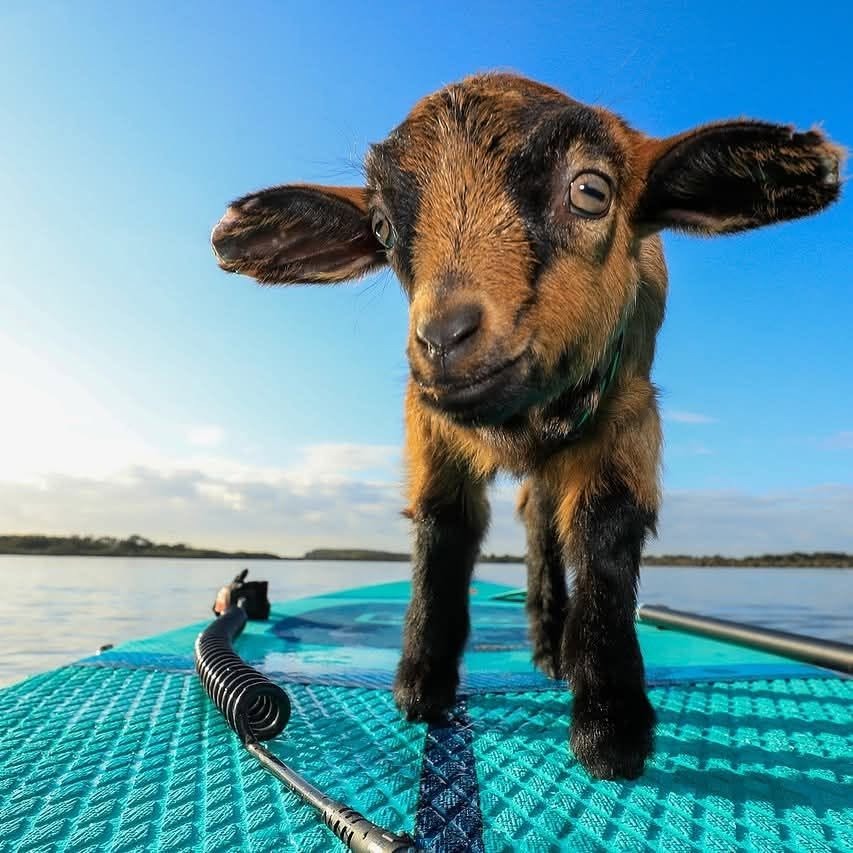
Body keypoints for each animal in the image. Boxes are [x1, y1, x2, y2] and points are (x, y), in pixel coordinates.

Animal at [211, 73, 843, 780]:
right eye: (381, 226)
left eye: (592, 191)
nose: (444, 339)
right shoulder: (427, 419)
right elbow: (443, 529)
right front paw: (422, 684)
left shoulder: (630, 410)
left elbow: (604, 535)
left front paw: (610, 725)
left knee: (546, 523)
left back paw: (552, 643)